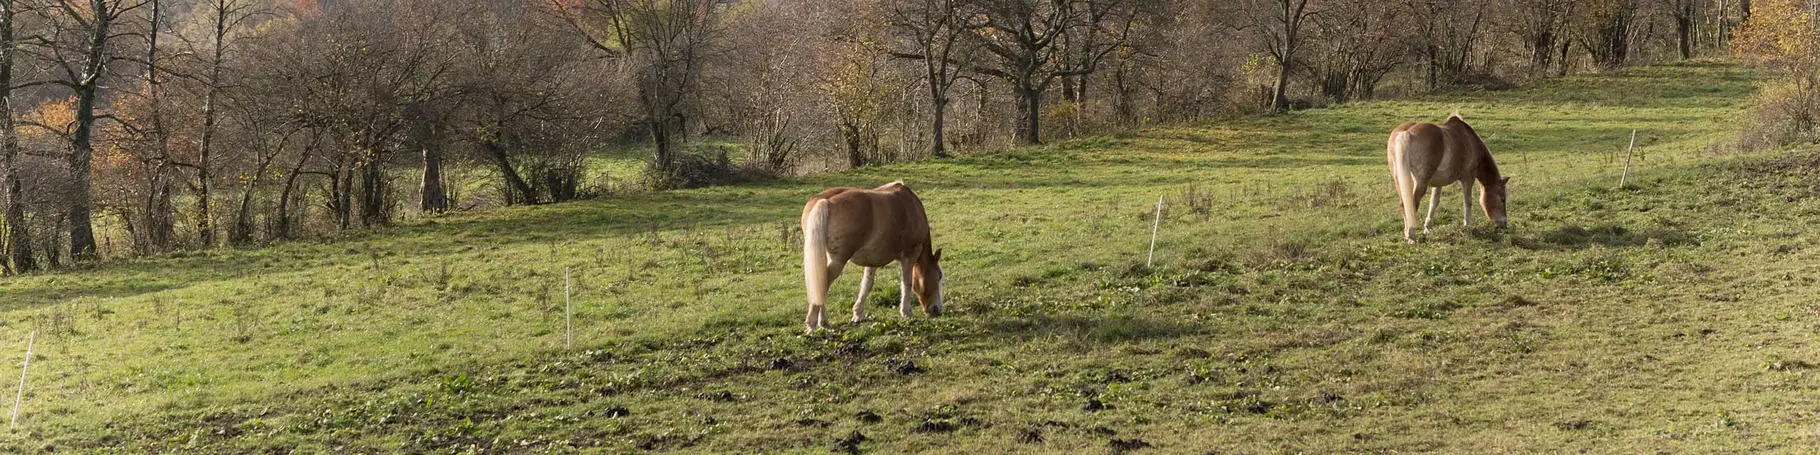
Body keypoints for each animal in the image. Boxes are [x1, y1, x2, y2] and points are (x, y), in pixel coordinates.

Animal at [800, 179, 946, 333]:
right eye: (939, 276)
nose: (936, 309)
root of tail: (826, 202)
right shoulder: (910, 254)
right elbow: (907, 283)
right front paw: (906, 311)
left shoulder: (872, 261)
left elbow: (866, 285)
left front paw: (858, 313)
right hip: (838, 261)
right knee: (823, 284)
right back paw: (815, 322)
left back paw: (823, 322)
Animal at [1390, 111, 1506, 243]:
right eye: (1502, 199)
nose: (1504, 224)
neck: (1470, 140)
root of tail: (1407, 133)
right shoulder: (1468, 178)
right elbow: (1468, 201)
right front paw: (1467, 226)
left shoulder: (1438, 183)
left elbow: (1434, 203)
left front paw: (1427, 229)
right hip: (1420, 183)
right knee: (1412, 204)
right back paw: (1411, 236)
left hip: (1399, 181)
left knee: (1404, 204)